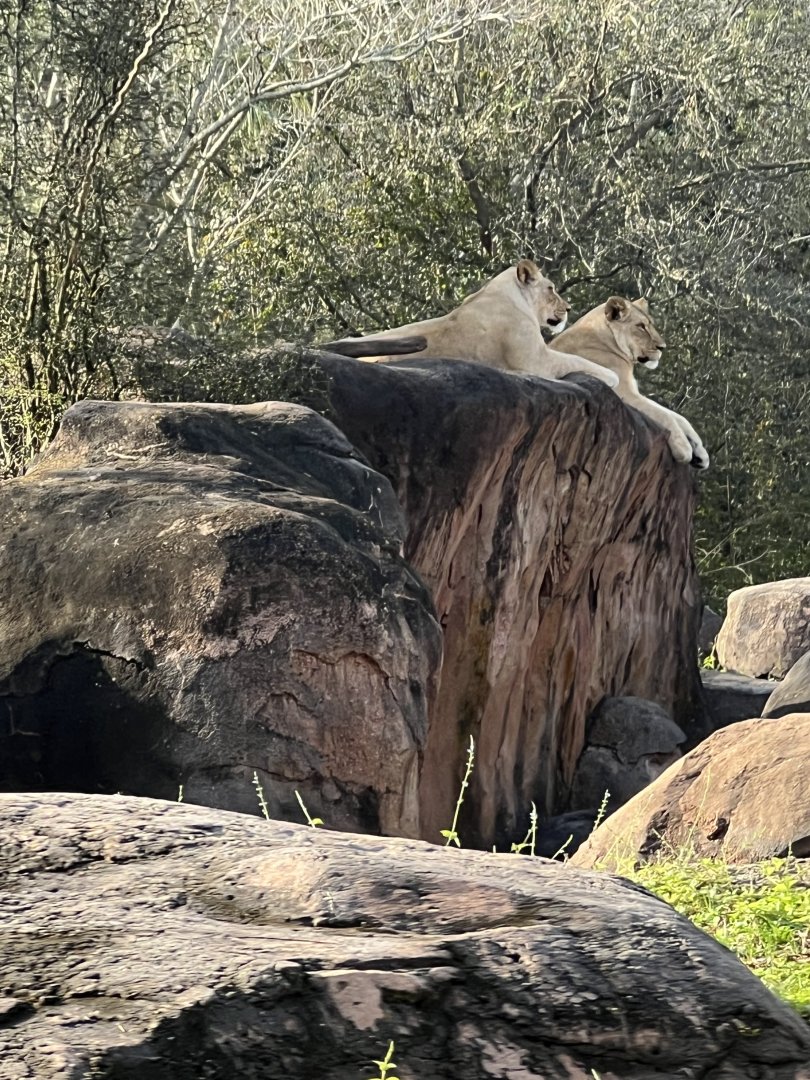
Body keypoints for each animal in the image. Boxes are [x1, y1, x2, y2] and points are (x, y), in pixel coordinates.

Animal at [553, 296, 710, 469]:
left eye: (650, 324)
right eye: (641, 326)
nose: (662, 347)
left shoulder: (634, 391)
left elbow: (678, 417)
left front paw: (701, 454)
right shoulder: (624, 393)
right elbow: (663, 415)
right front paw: (684, 448)